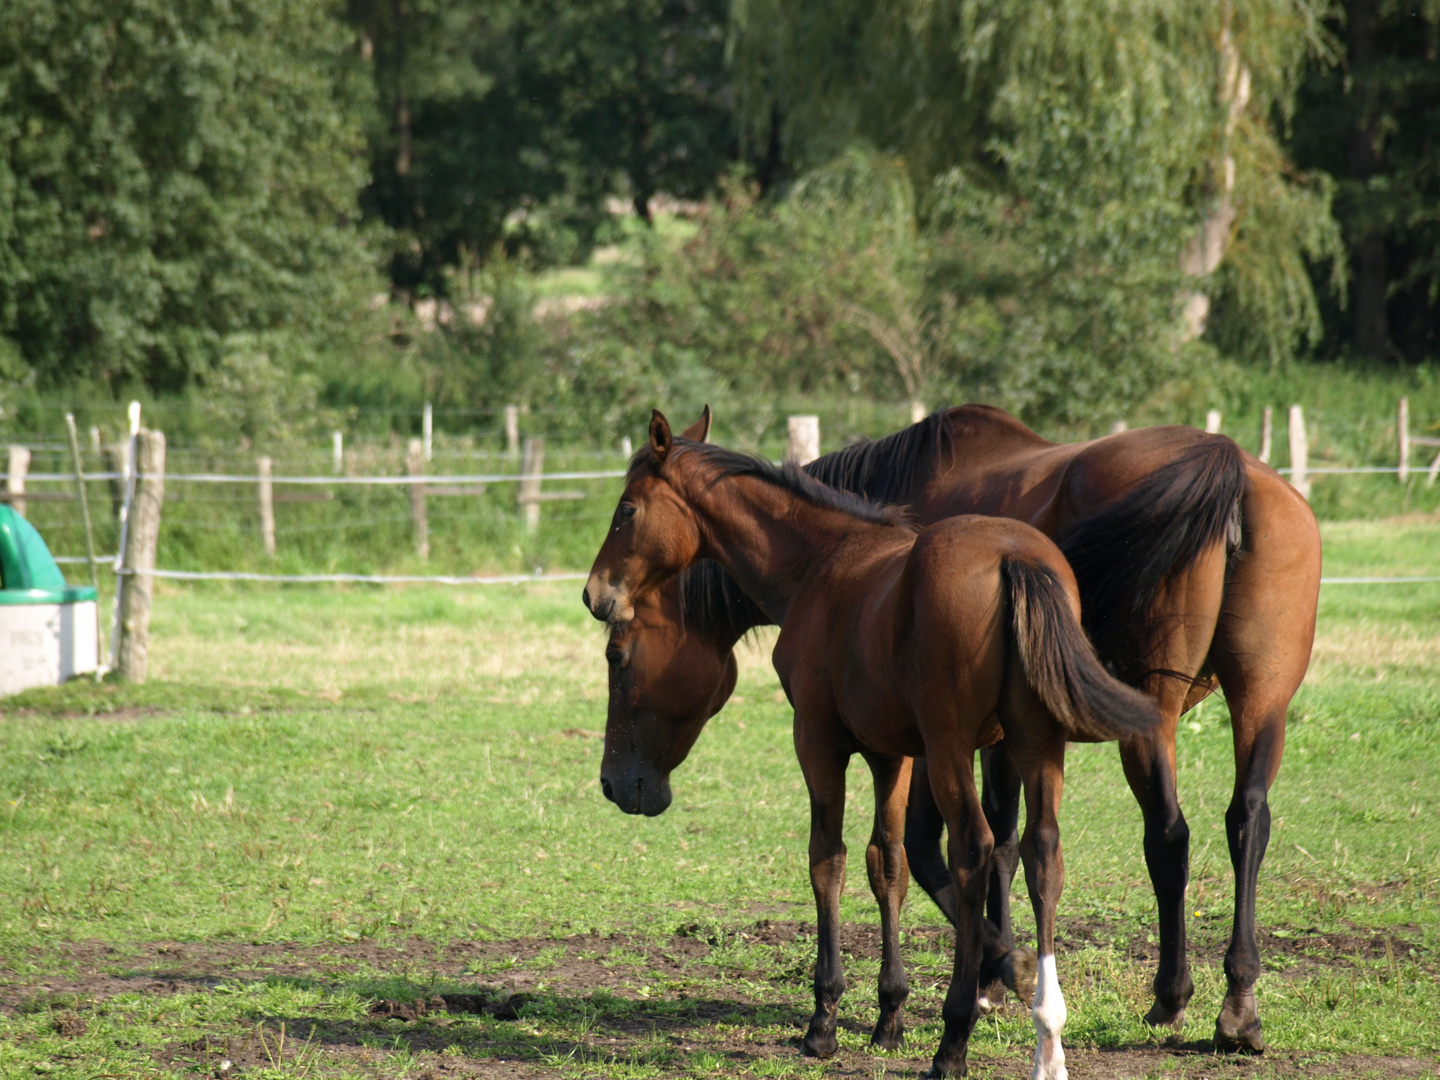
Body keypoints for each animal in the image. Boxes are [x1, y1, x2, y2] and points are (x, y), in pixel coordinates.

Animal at [601, 403, 1319, 1054]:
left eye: (618, 655)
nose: (595, 593)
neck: (831, 558)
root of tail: (1228, 466)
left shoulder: (840, 742)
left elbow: (858, 857)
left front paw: (851, 1013)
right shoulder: (923, 747)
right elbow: (919, 856)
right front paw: (924, 1000)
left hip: (1125, 716)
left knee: (1145, 834)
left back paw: (1152, 1001)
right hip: (1248, 701)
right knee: (1232, 820)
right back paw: (1232, 1007)